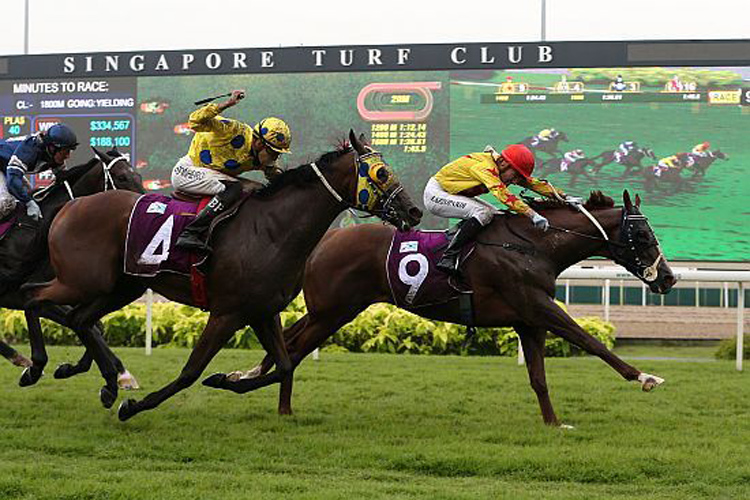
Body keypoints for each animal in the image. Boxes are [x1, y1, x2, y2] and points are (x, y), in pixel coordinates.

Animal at [1, 149, 144, 406]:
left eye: (137, 175)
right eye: (122, 177)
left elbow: (94, 326)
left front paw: (119, 374)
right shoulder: (23, 294)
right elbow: (85, 324)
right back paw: (20, 359)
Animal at [26, 131, 426, 420]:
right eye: (381, 173)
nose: (414, 211)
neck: (271, 230)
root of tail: (71, 205)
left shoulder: (263, 311)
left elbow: (283, 365)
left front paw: (225, 379)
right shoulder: (226, 313)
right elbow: (190, 372)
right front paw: (135, 407)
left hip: (121, 286)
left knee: (78, 318)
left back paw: (104, 383)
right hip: (82, 280)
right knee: (34, 296)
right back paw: (37, 368)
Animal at [214, 190, 680, 426]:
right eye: (643, 234)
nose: (669, 278)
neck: (533, 245)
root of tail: (323, 240)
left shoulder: (528, 320)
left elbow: (538, 378)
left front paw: (552, 423)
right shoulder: (539, 306)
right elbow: (591, 342)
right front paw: (645, 377)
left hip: (330, 310)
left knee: (287, 341)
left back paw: (249, 379)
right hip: (334, 312)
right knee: (292, 349)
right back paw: (275, 402)